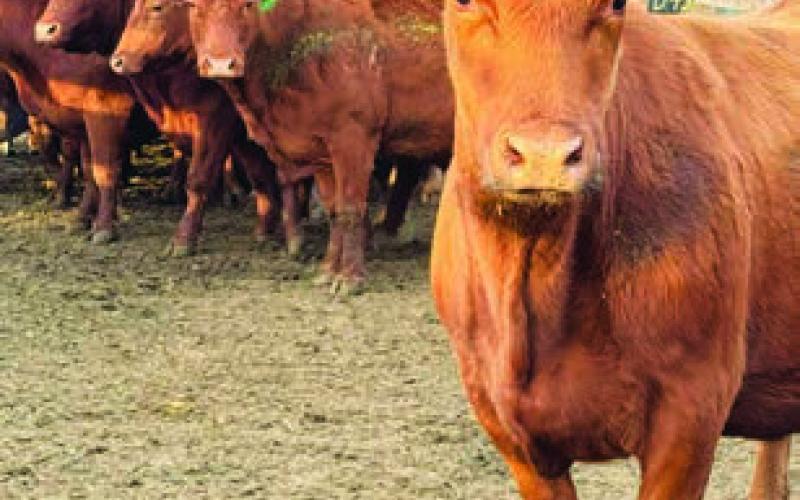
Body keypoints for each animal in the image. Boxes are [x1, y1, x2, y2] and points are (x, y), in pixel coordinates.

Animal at [35, 0, 285, 255]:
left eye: (157, 7)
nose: (44, 30)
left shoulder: (214, 120)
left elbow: (197, 178)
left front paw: (183, 238)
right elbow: (94, 170)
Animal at [184, 0, 454, 294]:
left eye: (247, 5)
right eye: (194, 6)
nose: (221, 64)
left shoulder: (353, 140)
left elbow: (350, 208)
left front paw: (349, 278)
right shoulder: (322, 155)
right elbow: (333, 210)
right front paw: (327, 270)